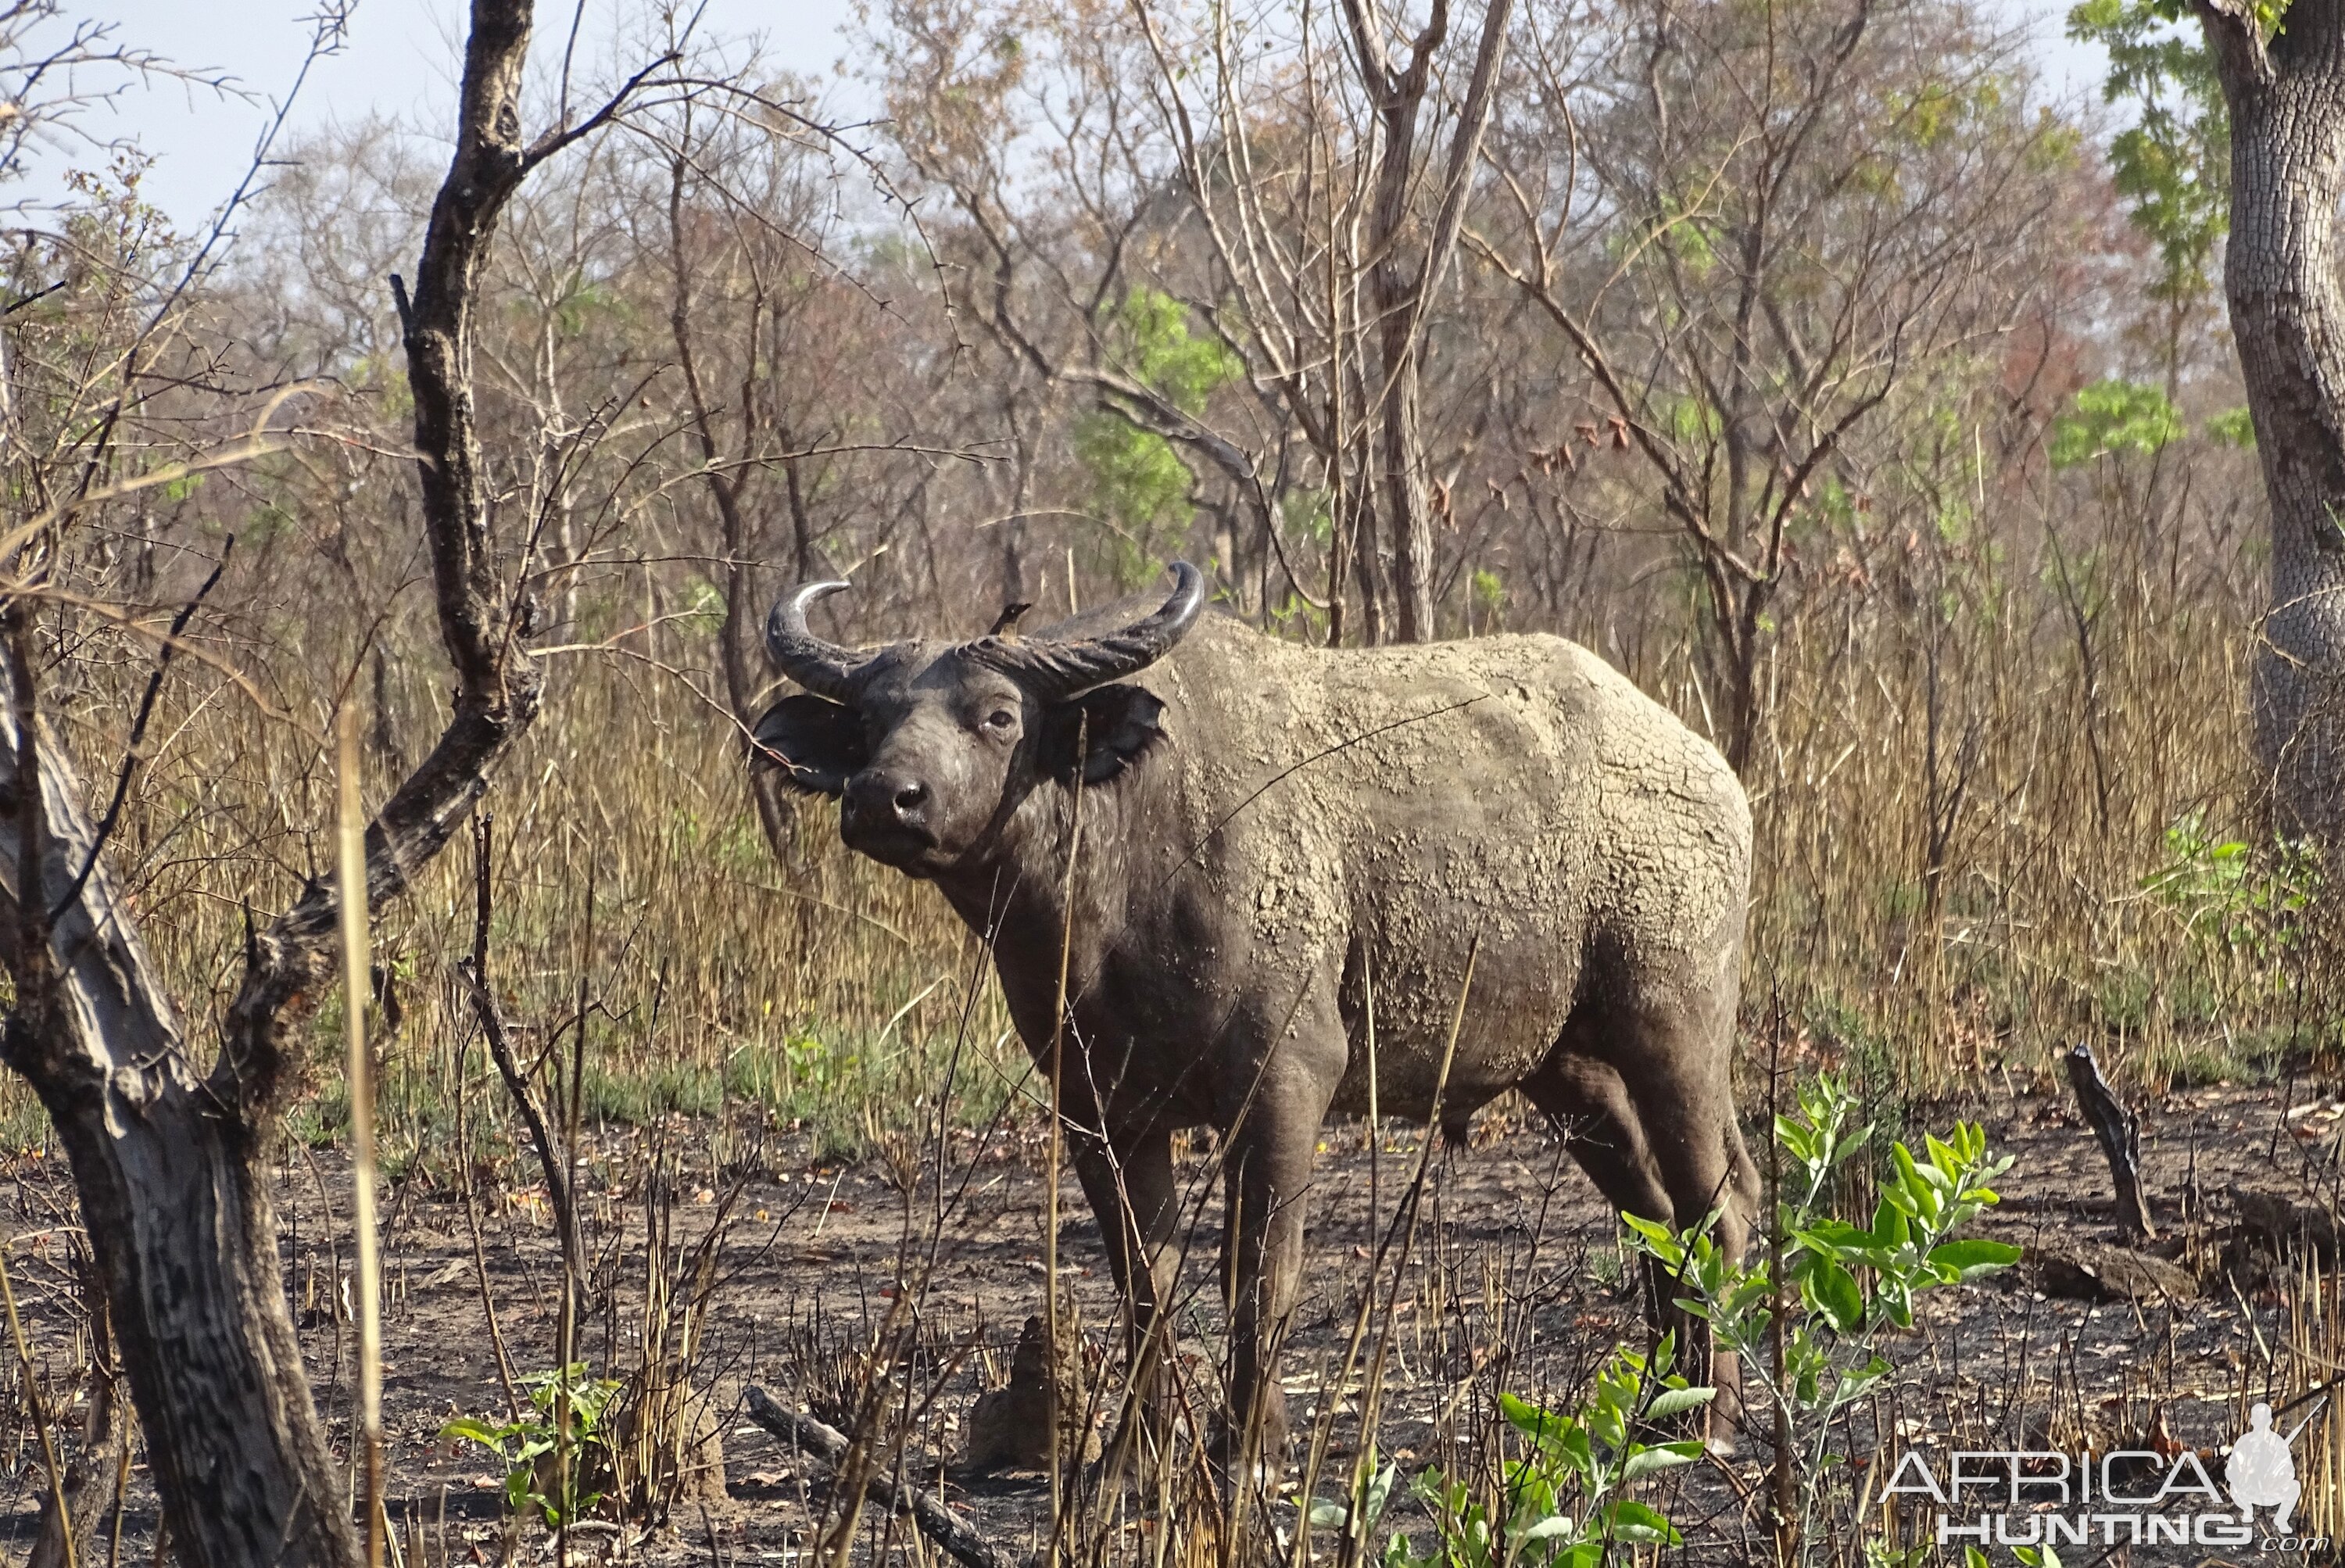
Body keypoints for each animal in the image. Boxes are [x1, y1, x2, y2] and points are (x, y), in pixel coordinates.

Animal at [750, 560, 1763, 1453]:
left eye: (997, 716)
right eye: (874, 720)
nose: (885, 797)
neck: (1117, 878)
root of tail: (1705, 764)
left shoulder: (1284, 1083)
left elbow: (1259, 1271)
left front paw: (1253, 1441)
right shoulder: (1097, 1113)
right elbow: (1144, 1279)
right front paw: (1138, 1449)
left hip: (1674, 1030)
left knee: (1719, 1203)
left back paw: (1712, 1416)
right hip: (1568, 1069)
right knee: (1653, 1215)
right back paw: (1663, 1406)